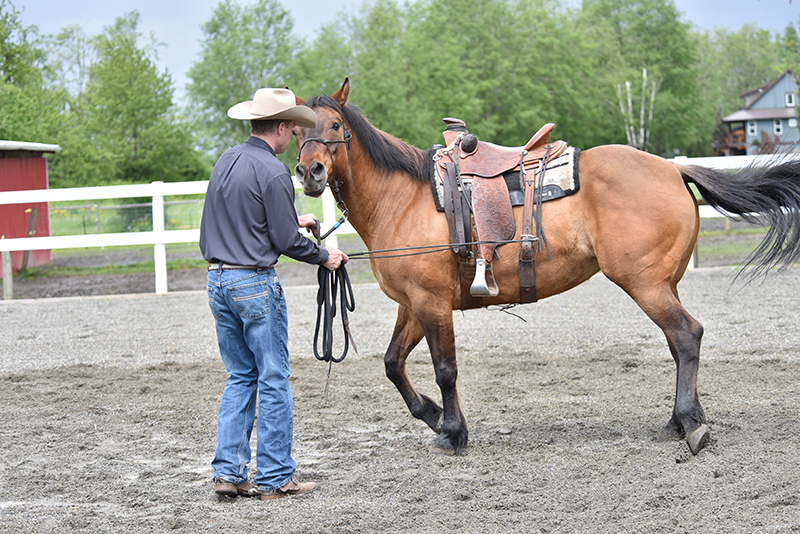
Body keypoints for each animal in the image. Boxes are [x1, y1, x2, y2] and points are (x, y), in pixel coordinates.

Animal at [293, 78, 800, 455]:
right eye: (296, 132)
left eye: (335, 124)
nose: (309, 173)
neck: (404, 198)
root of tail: (674, 169)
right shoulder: (412, 304)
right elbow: (393, 363)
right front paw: (434, 416)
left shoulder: (431, 303)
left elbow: (445, 368)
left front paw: (452, 433)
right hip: (662, 284)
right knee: (679, 343)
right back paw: (681, 420)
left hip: (644, 284)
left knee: (687, 335)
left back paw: (688, 423)